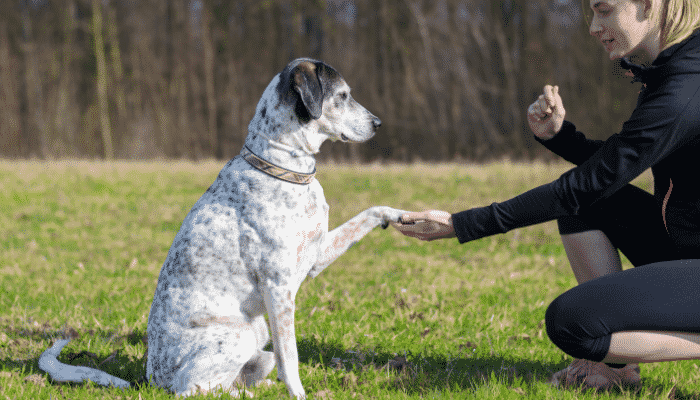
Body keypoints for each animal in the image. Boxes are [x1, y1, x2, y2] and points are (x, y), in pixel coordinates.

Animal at [39, 57, 404, 398]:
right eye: (342, 96)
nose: (378, 124)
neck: (283, 166)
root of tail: (150, 381)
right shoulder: (279, 288)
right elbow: (291, 358)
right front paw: (299, 394)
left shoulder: (315, 257)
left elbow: (370, 213)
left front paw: (403, 216)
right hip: (240, 335)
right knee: (196, 389)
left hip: (258, 335)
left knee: (234, 380)